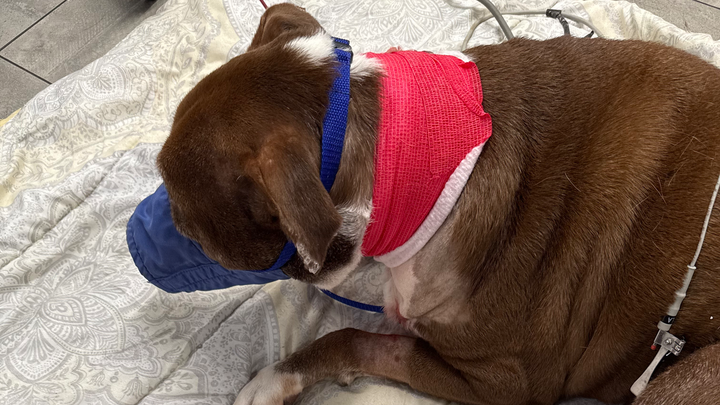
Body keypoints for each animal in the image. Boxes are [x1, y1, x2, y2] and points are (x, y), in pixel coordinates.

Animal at [156, 4, 720, 405]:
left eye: (188, 227)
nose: (154, 227)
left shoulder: (504, 379)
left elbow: (361, 339)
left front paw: (275, 379)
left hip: (684, 378)